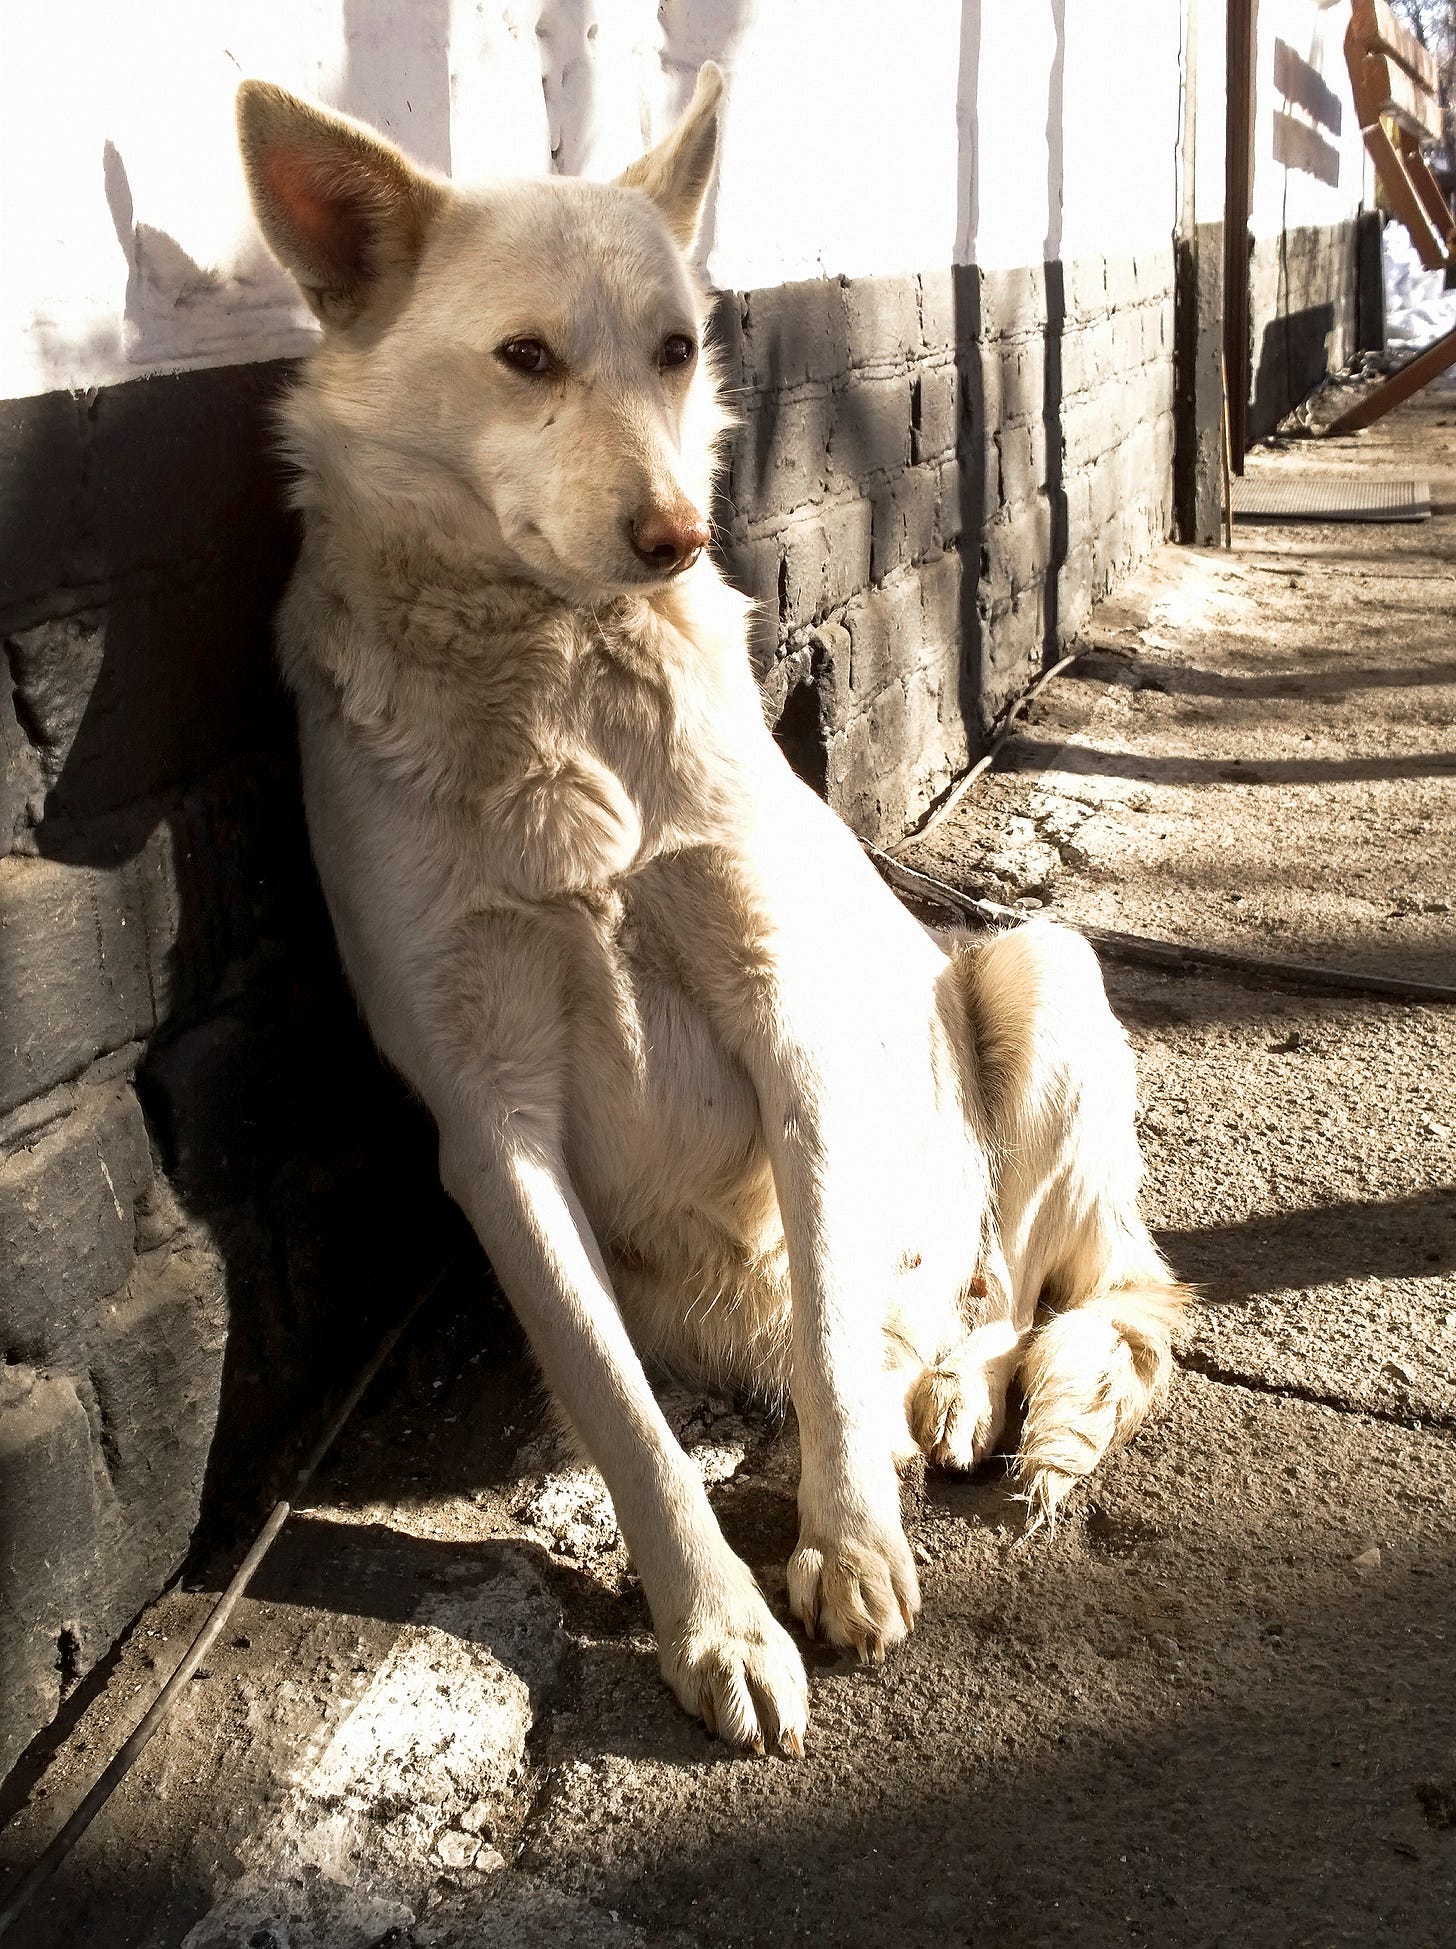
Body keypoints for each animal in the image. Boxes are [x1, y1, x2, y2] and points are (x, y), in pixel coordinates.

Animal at [236, 68, 1185, 1761]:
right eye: (526, 357)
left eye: (677, 349)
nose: (679, 534)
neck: (551, 675)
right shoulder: (490, 1128)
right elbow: (624, 1414)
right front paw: (719, 1624)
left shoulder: (788, 1030)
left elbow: (828, 1349)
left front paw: (847, 1543)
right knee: (924, 1319)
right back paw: (931, 1394)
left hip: (1039, 970)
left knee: (1016, 1288)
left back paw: (956, 1394)